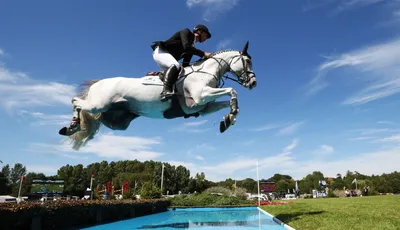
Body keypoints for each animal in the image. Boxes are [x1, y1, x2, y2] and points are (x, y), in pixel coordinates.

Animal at [57, 40, 258, 150]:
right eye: (247, 61)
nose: (253, 83)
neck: (205, 72)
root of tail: (98, 83)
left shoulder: (202, 107)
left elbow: (227, 102)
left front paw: (228, 119)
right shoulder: (201, 96)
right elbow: (232, 91)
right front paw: (230, 117)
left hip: (113, 118)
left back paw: (72, 127)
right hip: (97, 105)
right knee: (75, 101)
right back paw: (72, 126)